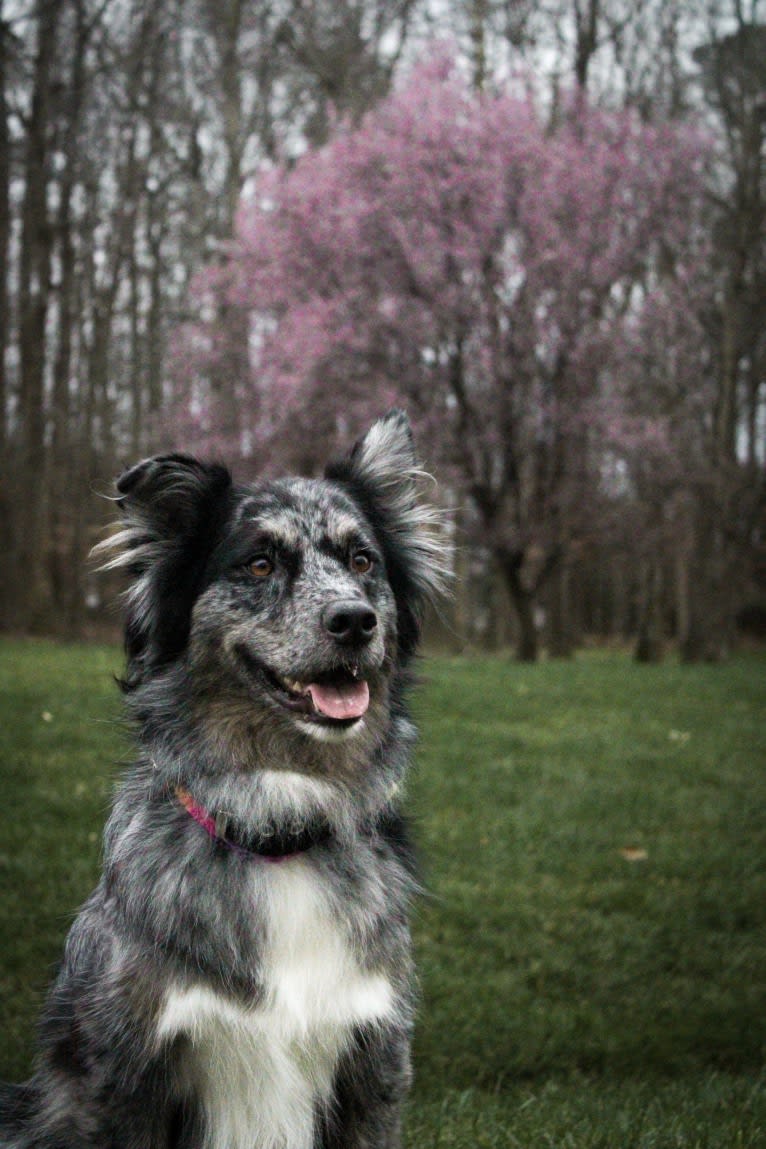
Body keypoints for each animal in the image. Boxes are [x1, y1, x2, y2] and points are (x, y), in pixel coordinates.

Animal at [0, 413, 445, 1149]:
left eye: (362, 562)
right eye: (259, 563)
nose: (355, 620)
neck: (277, 827)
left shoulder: (373, 1061)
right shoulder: (125, 1073)